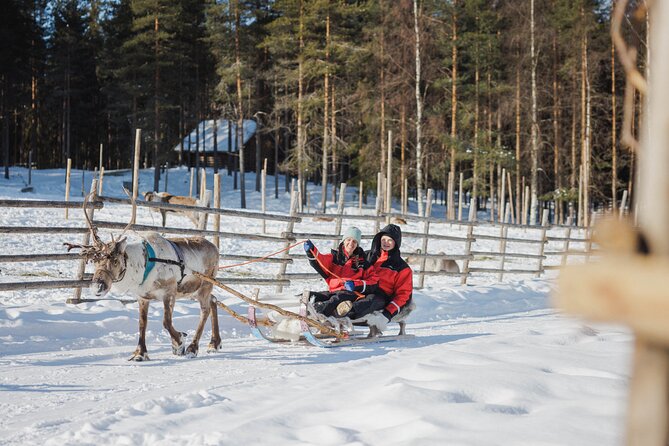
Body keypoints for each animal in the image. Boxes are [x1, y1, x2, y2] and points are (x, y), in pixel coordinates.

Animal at [66, 195, 222, 361]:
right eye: (95, 260)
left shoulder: (169, 292)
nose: (97, 286)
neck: (144, 265)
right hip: (192, 291)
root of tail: (215, 247)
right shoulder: (142, 297)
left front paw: (179, 343)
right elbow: (142, 323)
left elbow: (166, 322)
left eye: (115, 260)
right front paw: (140, 353)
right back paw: (214, 343)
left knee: (205, 310)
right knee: (214, 300)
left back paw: (193, 348)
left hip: (205, 286)